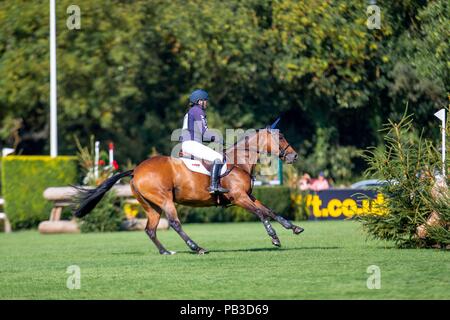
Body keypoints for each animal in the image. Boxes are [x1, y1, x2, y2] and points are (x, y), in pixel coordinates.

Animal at [74, 122, 304, 255]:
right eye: (280, 137)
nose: (294, 156)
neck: (239, 161)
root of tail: (136, 170)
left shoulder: (248, 195)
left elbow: (269, 210)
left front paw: (293, 227)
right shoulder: (239, 197)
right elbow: (260, 213)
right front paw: (274, 237)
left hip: (151, 206)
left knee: (150, 229)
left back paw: (166, 252)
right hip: (164, 200)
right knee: (175, 223)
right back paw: (197, 247)